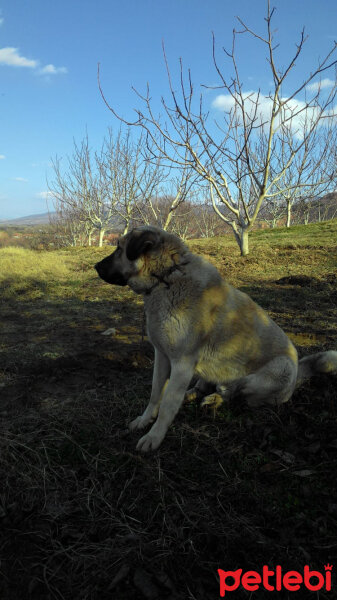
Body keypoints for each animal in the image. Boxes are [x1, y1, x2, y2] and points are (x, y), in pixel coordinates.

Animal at [94, 227, 336, 452]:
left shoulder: (182, 363)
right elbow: (156, 394)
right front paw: (145, 421)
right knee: (208, 385)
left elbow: (168, 405)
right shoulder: (162, 356)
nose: (95, 267)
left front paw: (155, 436)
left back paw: (214, 399)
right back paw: (193, 393)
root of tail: (296, 377)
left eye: (119, 248)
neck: (168, 278)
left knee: (233, 392)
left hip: (273, 371)